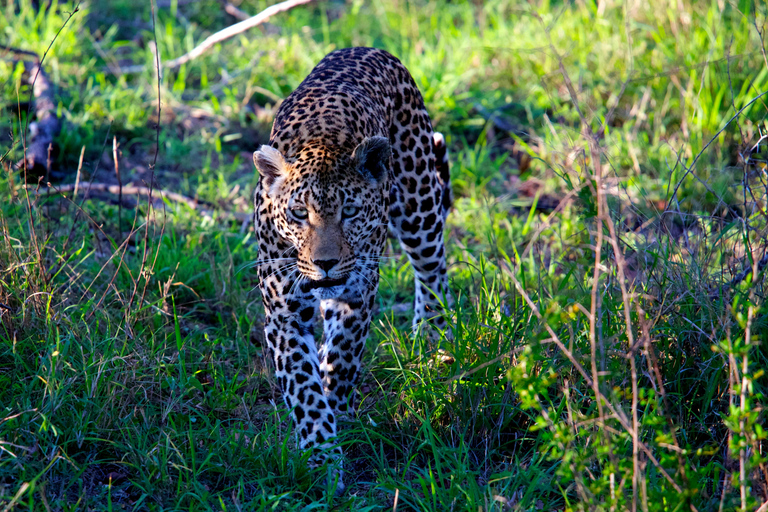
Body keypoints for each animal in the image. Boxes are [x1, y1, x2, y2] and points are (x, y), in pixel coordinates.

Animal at [252, 48, 450, 492]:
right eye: (299, 213)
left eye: (351, 212)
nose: (325, 263)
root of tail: (364, 49)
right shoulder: (284, 312)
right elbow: (304, 385)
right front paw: (322, 455)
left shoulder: (357, 293)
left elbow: (342, 359)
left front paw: (339, 414)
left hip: (420, 208)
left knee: (433, 271)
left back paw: (432, 341)